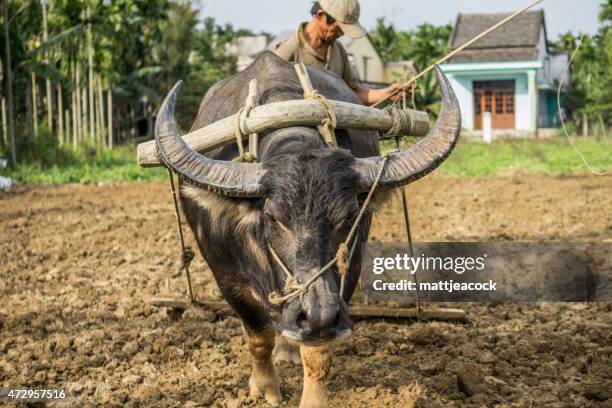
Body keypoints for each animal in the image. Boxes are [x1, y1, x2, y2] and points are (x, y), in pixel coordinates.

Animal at [154, 51, 460, 408]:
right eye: (273, 218)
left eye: (349, 216)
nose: (315, 314)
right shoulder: (228, 279)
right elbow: (258, 336)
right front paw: (265, 388)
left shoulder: (344, 280)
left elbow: (317, 352)